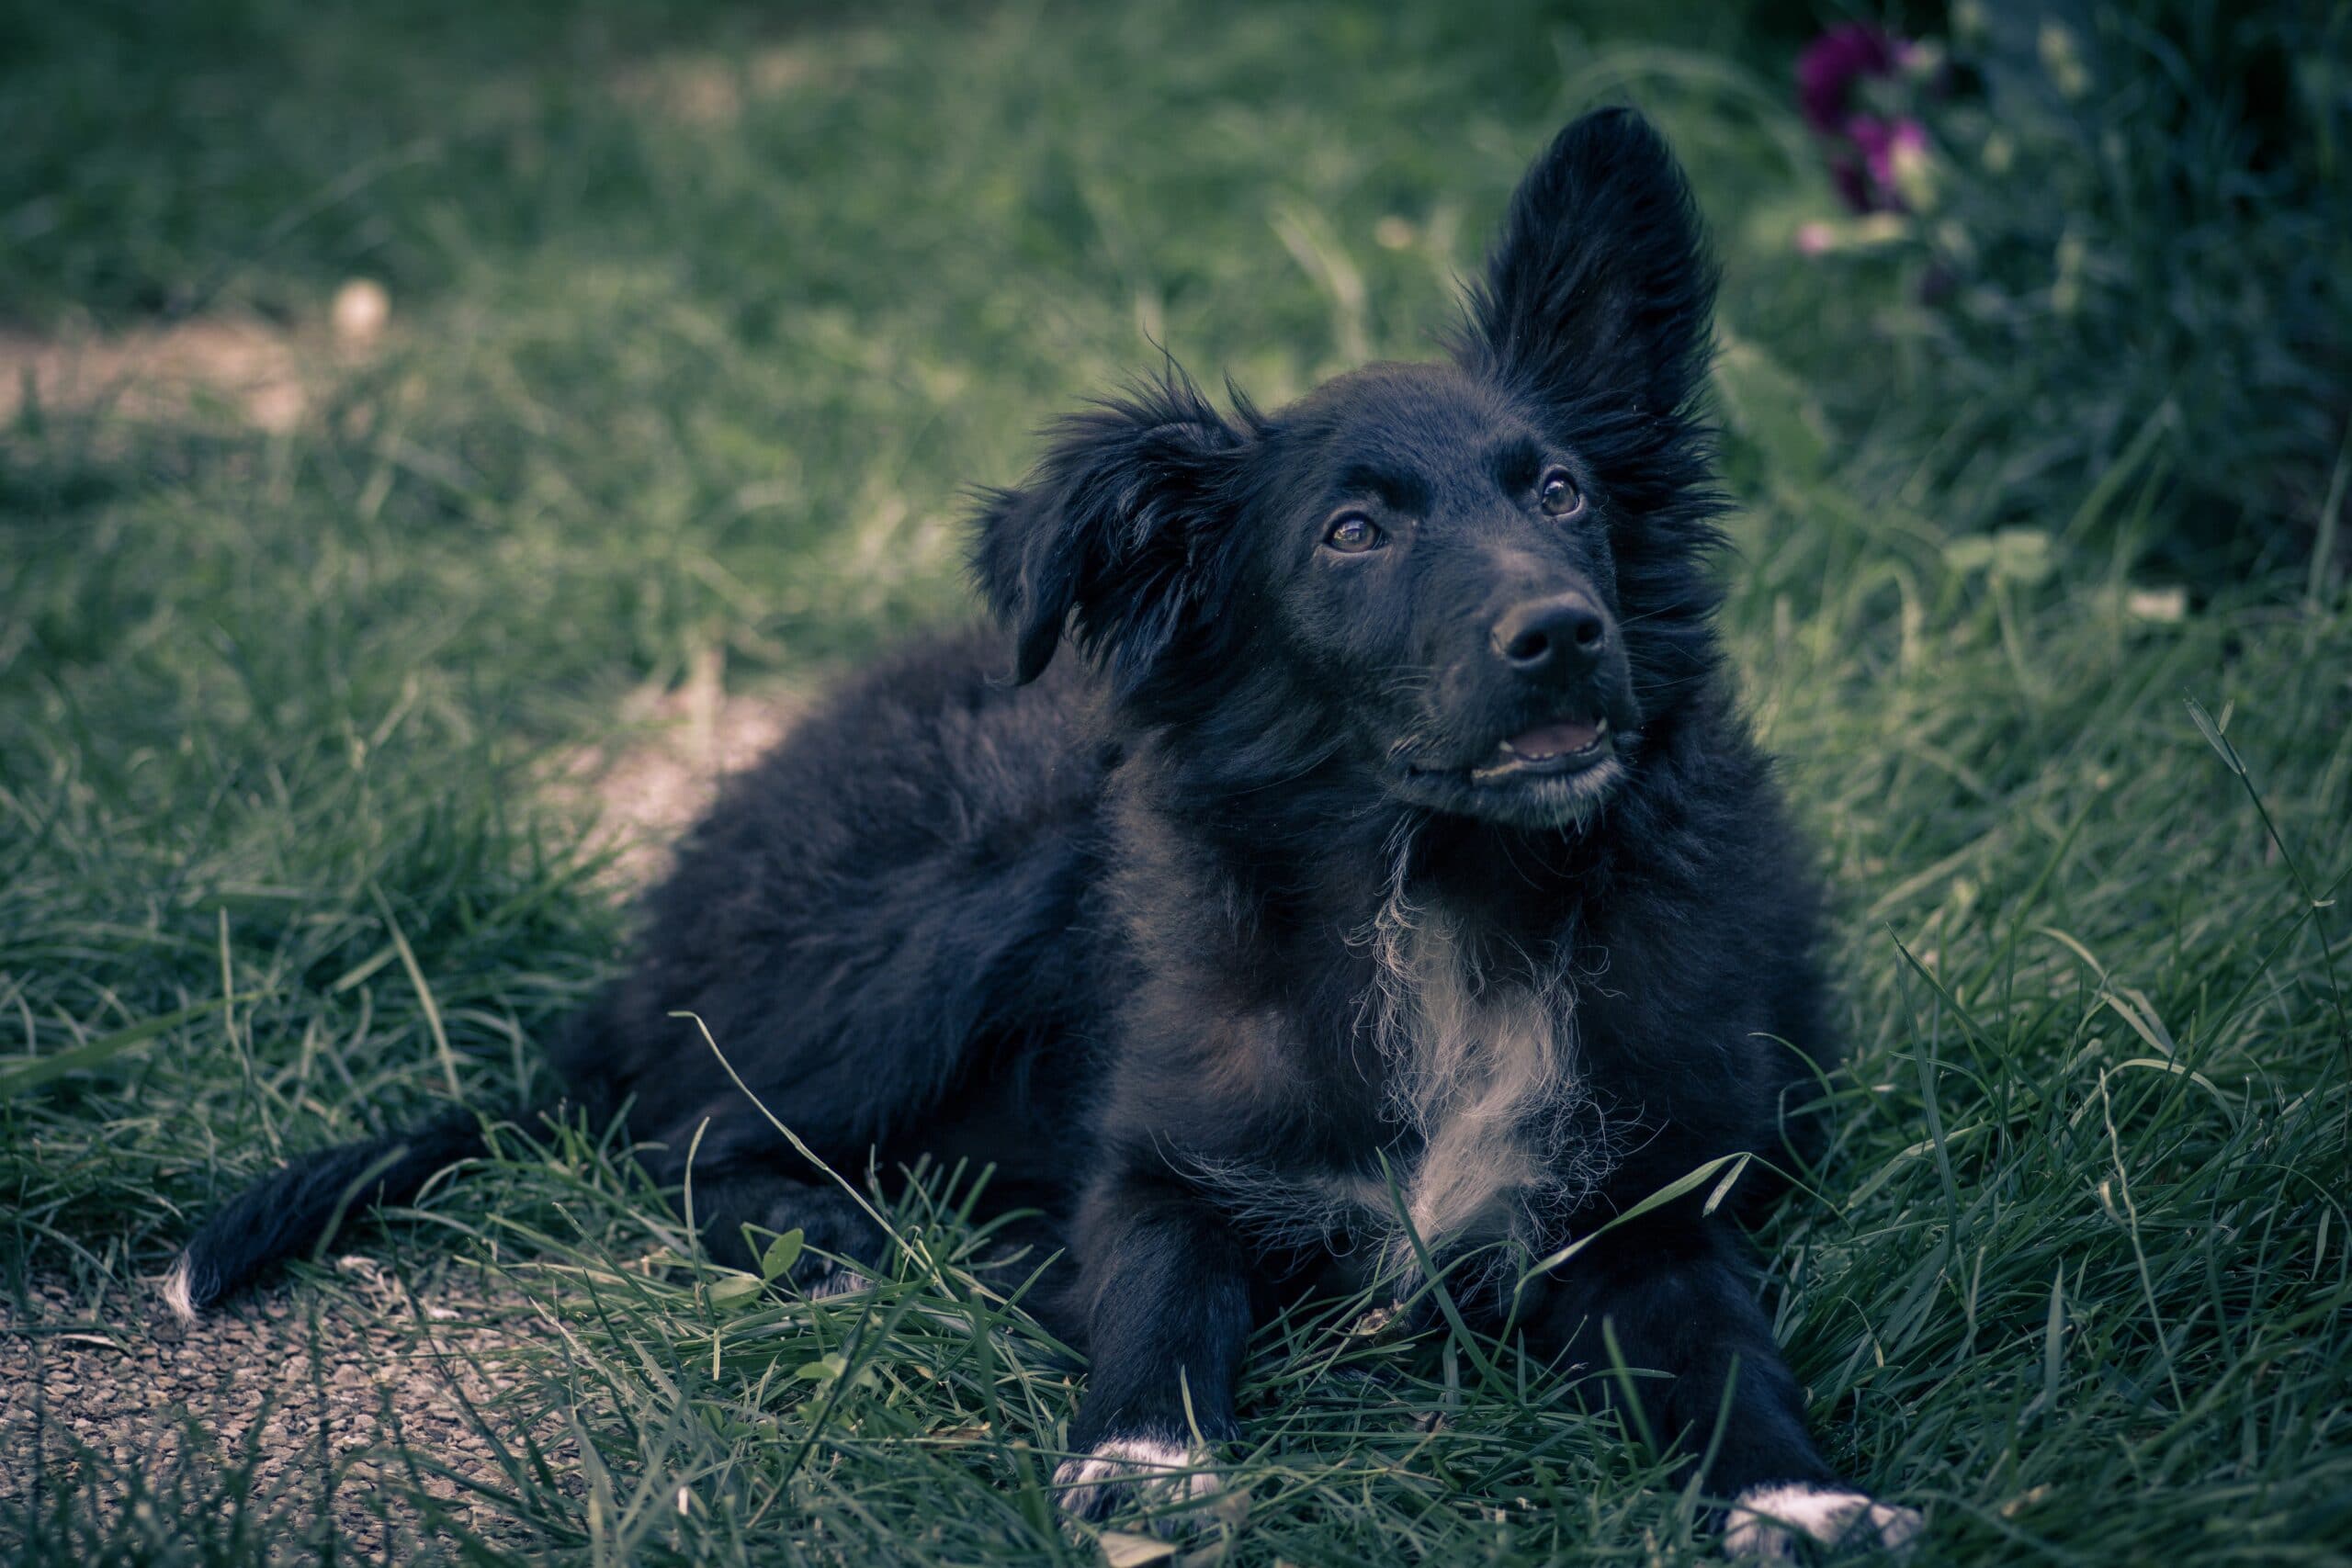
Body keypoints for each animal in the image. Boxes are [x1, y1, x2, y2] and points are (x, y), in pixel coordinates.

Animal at [178, 107, 1909, 1561]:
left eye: (1558, 493)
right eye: (1351, 533)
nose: (1563, 633)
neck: (1442, 891)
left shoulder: (1658, 1191)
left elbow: (1726, 1343)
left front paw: (1799, 1493)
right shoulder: (1158, 1150)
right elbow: (1154, 1284)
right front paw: (1143, 1456)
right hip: (965, 898)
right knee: (681, 1146)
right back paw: (887, 1237)